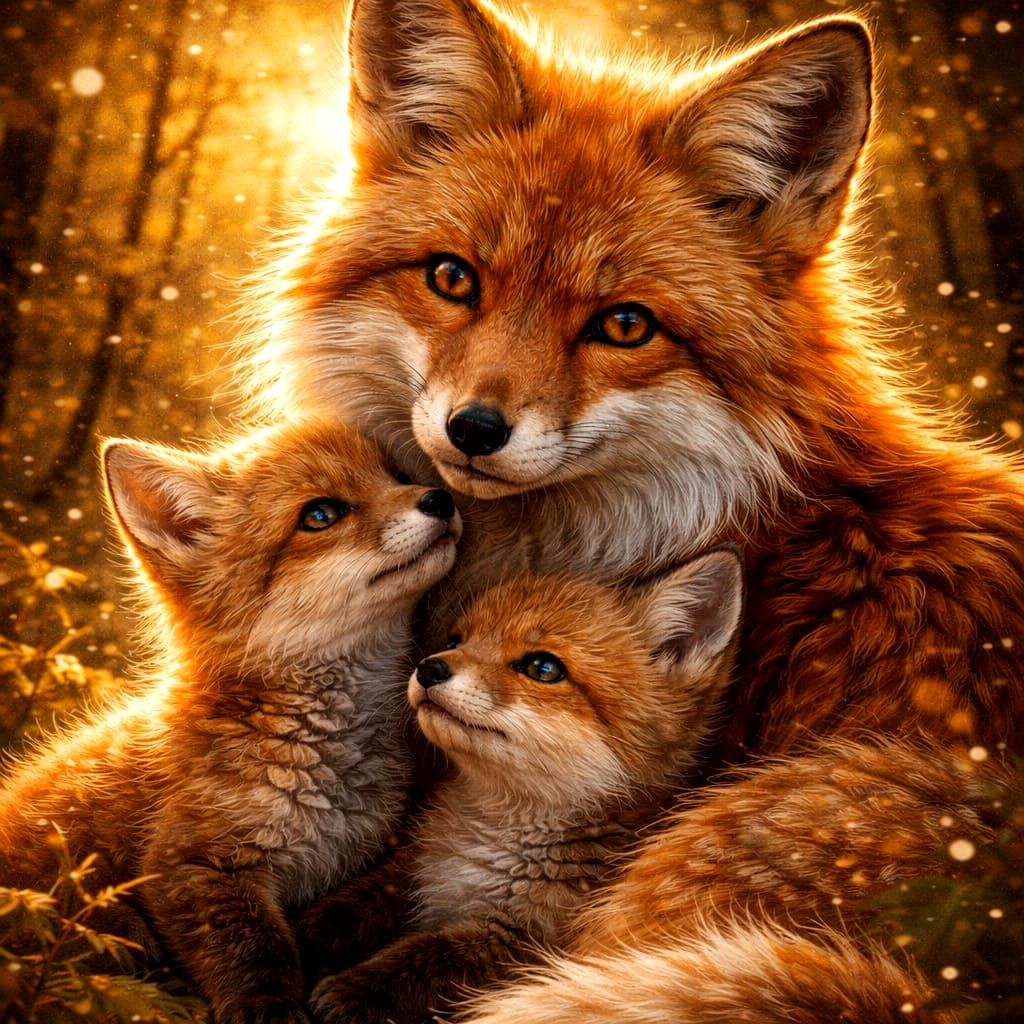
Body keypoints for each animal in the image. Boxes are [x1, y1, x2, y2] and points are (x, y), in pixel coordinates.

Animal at [0, 420, 461, 1024]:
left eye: (396, 475)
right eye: (321, 514)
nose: (441, 498)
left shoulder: (368, 852)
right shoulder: (191, 864)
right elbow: (259, 954)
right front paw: (274, 1010)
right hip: (119, 934)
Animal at [296, 551, 742, 1024]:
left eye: (542, 668)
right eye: (456, 639)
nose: (429, 667)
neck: (488, 841)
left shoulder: (523, 943)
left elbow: (425, 958)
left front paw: (352, 990)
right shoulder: (412, 866)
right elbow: (355, 902)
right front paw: (302, 936)